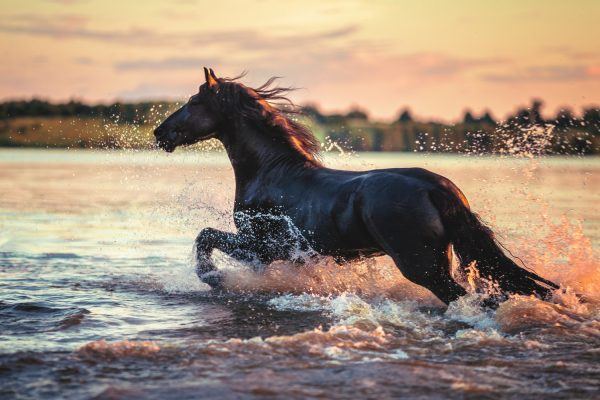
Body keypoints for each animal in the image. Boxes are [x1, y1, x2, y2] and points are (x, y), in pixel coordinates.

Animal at [154, 69, 556, 306]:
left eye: (193, 101)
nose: (160, 132)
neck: (272, 172)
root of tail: (436, 188)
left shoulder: (263, 247)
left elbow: (205, 236)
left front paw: (215, 278)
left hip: (422, 266)